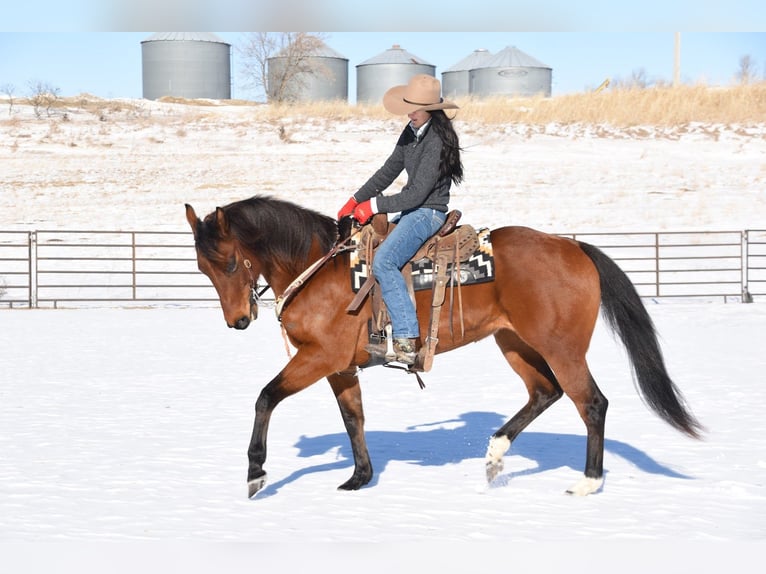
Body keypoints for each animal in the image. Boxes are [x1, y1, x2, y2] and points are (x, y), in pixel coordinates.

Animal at [185, 195, 703, 498]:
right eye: (202, 268)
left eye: (229, 263)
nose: (238, 320)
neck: (319, 268)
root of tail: (572, 247)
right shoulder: (340, 367)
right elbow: (353, 418)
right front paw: (359, 477)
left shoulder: (320, 357)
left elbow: (266, 397)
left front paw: (256, 472)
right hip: (513, 342)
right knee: (545, 392)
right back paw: (494, 456)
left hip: (562, 347)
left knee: (591, 402)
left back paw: (588, 482)